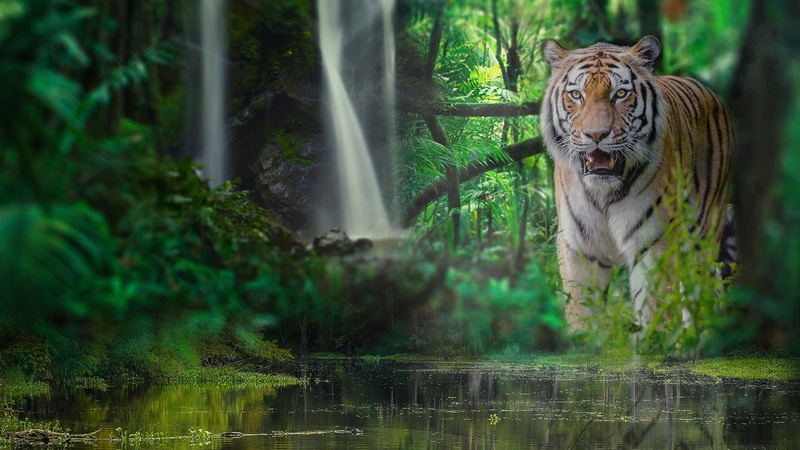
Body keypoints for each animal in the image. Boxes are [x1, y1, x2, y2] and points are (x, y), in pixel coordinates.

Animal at [538, 36, 733, 330]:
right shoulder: (579, 247)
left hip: (702, 238)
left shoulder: (653, 244)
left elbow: (655, 313)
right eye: (576, 95)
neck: (603, 192)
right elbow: (582, 315)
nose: (596, 135)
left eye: (620, 94)